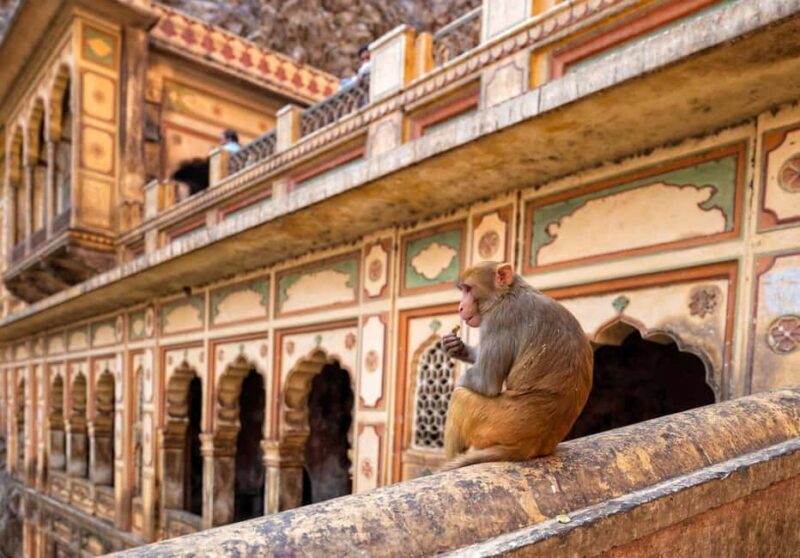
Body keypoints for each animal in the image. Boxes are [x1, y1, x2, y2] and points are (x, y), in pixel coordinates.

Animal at [440, 261, 593, 470]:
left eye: (468, 289)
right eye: (462, 290)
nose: (460, 307)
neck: (507, 293)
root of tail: (531, 446)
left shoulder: (500, 318)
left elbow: (486, 382)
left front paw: (458, 381)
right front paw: (456, 347)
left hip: (495, 425)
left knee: (460, 398)